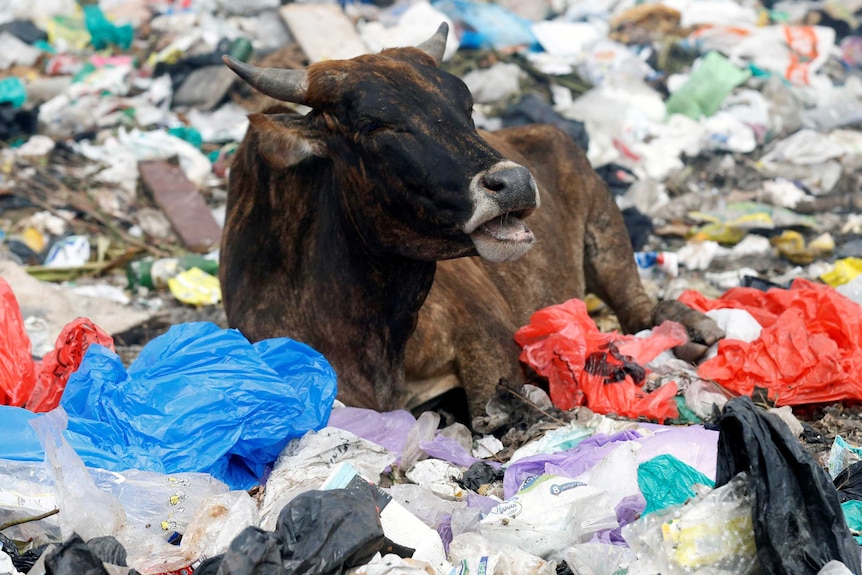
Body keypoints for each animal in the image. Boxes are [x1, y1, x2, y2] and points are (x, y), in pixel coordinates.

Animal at [219, 24, 724, 426]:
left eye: (466, 106)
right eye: (376, 124)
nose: (516, 183)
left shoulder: (487, 336)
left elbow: (488, 411)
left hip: (607, 237)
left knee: (639, 313)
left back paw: (697, 332)